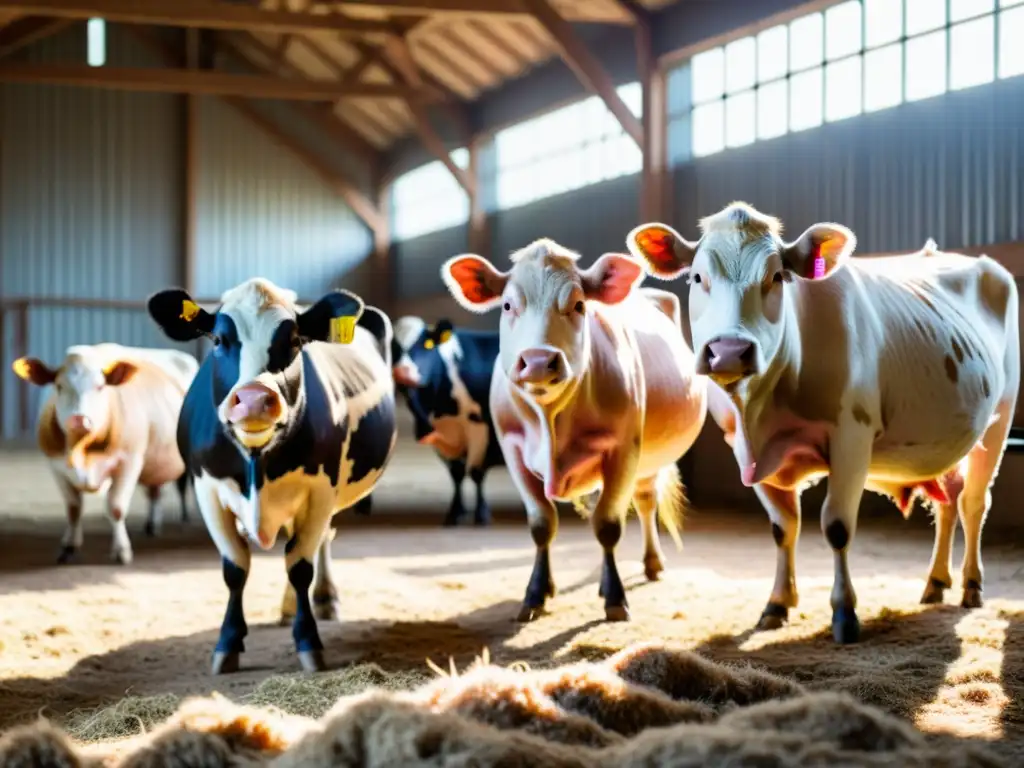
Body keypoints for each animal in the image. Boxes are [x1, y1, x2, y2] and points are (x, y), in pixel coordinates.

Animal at [12, 342, 199, 565]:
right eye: (59, 387)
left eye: (100, 387)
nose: (79, 419)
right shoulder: (55, 466)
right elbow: (73, 509)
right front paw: (69, 547)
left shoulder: (129, 461)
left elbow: (116, 508)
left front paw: (121, 551)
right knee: (155, 491)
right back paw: (151, 525)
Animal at [148, 278, 395, 671]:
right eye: (219, 340)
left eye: (294, 341)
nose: (253, 399)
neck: (256, 461)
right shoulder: (206, 489)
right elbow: (235, 567)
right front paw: (228, 643)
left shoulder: (321, 489)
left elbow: (300, 565)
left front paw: (308, 640)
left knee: (320, 541)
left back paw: (324, 599)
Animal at [391, 315, 503, 528]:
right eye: (393, 348)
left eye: (427, 345)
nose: (402, 371)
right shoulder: (441, 433)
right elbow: (456, 473)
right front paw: (455, 513)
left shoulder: (480, 427)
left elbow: (476, 472)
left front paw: (482, 515)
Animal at [440, 240, 712, 626]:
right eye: (508, 305)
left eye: (579, 305)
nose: (538, 361)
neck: (550, 420)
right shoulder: (513, 451)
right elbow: (542, 524)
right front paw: (536, 593)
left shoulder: (623, 450)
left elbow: (608, 525)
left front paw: (614, 597)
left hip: (648, 460)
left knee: (645, 501)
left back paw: (652, 563)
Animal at [626, 201, 1019, 647]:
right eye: (696, 277)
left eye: (777, 276)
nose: (728, 350)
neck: (761, 414)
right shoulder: (741, 448)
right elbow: (783, 527)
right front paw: (777, 603)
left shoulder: (852, 437)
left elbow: (836, 526)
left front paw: (845, 613)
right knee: (947, 502)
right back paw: (936, 581)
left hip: (1000, 419)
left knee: (973, 503)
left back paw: (971, 584)